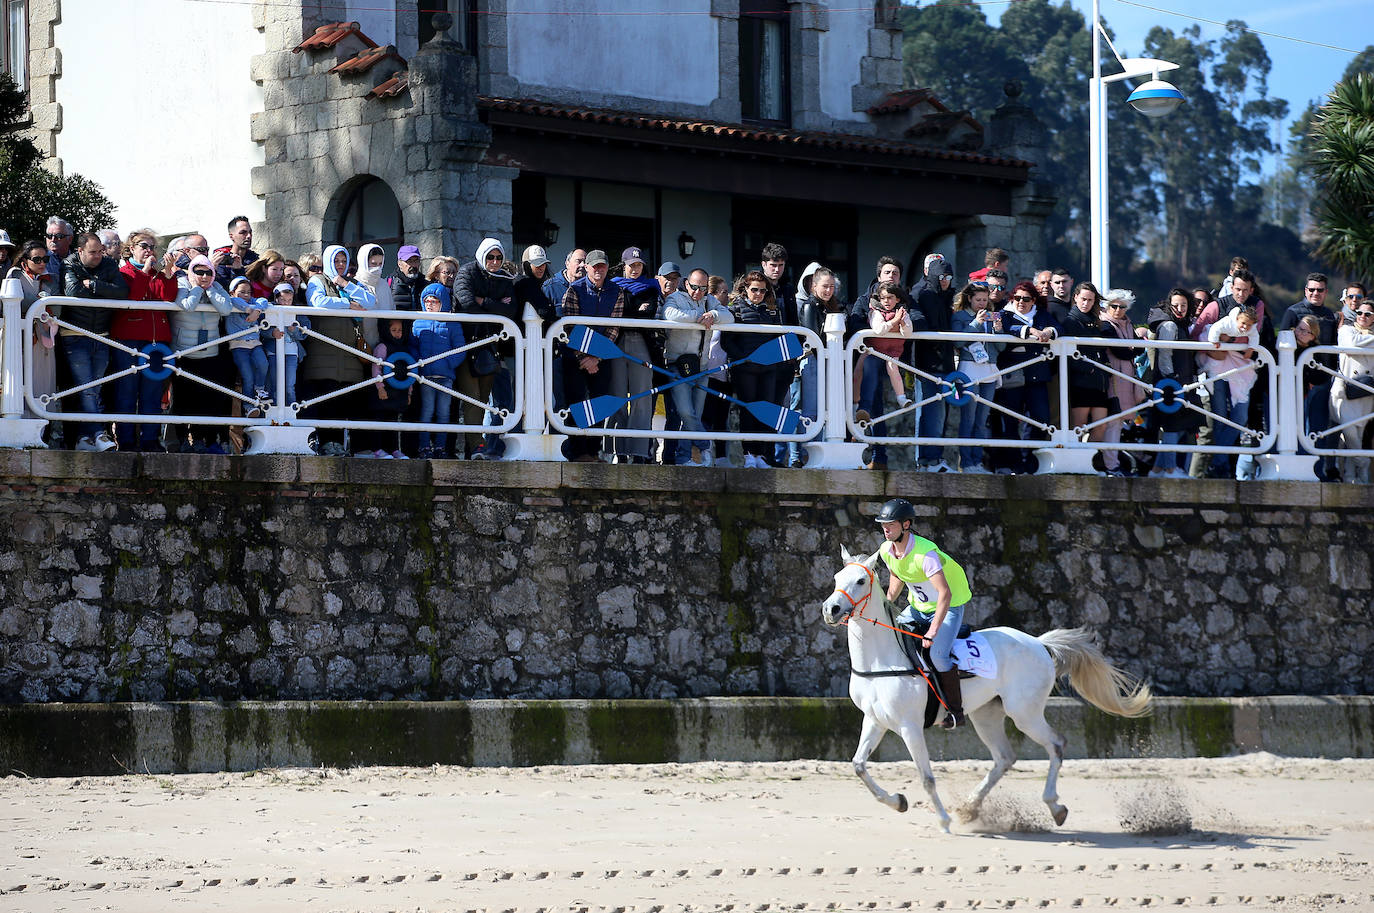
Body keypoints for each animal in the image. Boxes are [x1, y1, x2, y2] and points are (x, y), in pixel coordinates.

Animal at [818, 544, 1154, 830]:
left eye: (861, 580)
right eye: (836, 578)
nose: (831, 609)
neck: (883, 658)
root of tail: (1040, 644)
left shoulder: (909, 726)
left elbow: (926, 777)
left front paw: (943, 821)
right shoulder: (875, 720)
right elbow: (858, 765)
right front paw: (898, 801)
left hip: (1024, 714)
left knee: (1056, 745)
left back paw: (1054, 807)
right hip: (986, 715)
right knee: (1005, 758)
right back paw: (970, 807)